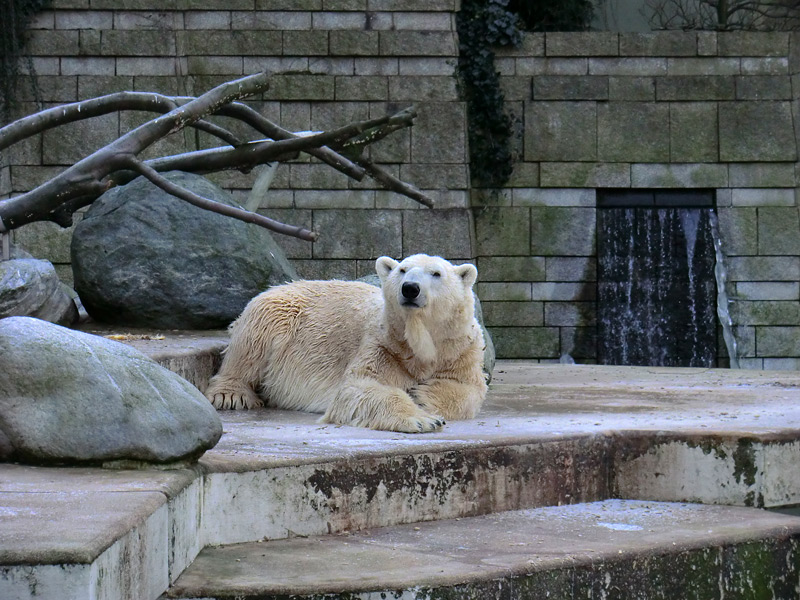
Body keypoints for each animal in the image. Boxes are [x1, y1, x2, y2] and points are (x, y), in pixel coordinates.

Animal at [205, 253, 488, 432]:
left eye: (436, 273)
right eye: (402, 270)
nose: (410, 288)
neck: (420, 341)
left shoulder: (460, 349)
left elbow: (469, 390)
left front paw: (422, 394)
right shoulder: (384, 346)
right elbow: (358, 388)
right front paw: (423, 420)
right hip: (277, 311)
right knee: (252, 343)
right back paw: (230, 395)